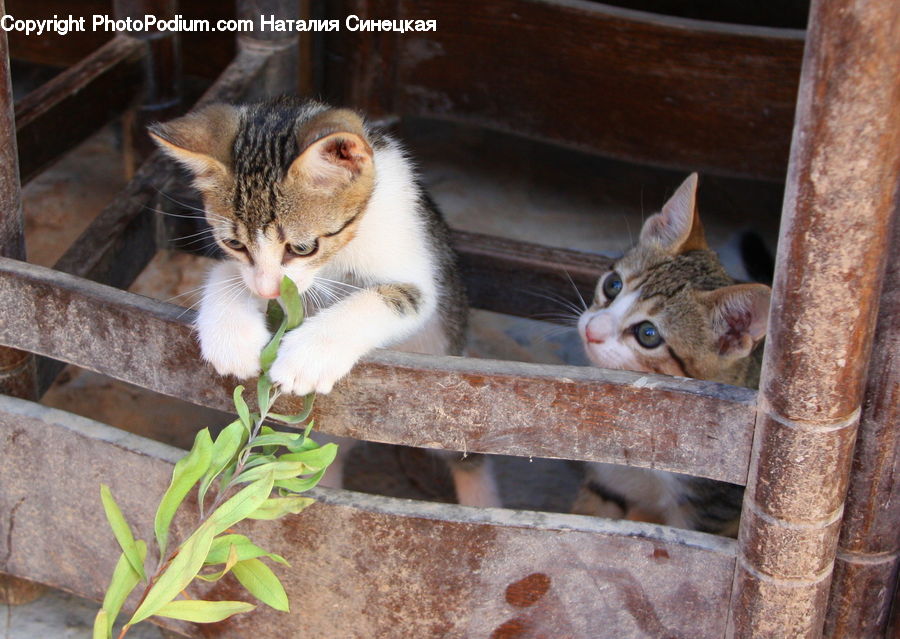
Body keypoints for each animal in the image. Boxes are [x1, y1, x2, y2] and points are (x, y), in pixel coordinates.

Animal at [148, 99, 500, 510]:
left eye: (303, 248)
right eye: (234, 244)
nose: (267, 291)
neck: (342, 249)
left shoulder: (421, 281)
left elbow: (378, 298)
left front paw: (308, 355)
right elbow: (230, 274)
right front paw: (230, 338)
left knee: (466, 458)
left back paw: (484, 505)